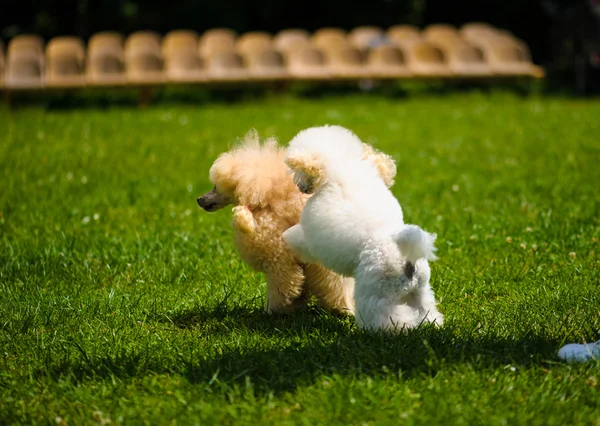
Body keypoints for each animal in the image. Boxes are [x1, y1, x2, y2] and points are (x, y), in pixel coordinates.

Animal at [284, 125, 442, 332]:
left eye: (299, 172)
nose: (299, 186)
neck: (344, 167)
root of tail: (407, 261)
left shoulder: (313, 239)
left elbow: (301, 240)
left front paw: (286, 237)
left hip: (376, 292)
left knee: (387, 316)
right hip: (420, 289)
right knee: (427, 310)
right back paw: (432, 324)